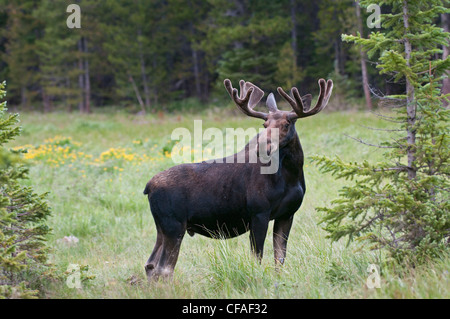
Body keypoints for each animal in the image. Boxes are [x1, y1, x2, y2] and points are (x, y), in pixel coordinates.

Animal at [142, 77, 332, 280]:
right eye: (264, 125)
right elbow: (257, 256)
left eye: (286, 124)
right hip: (174, 224)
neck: (291, 176)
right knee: (164, 268)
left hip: (162, 226)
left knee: (150, 264)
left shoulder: (287, 214)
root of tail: (148, 187)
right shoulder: (259, 212)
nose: (262, 146)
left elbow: (279, 259)